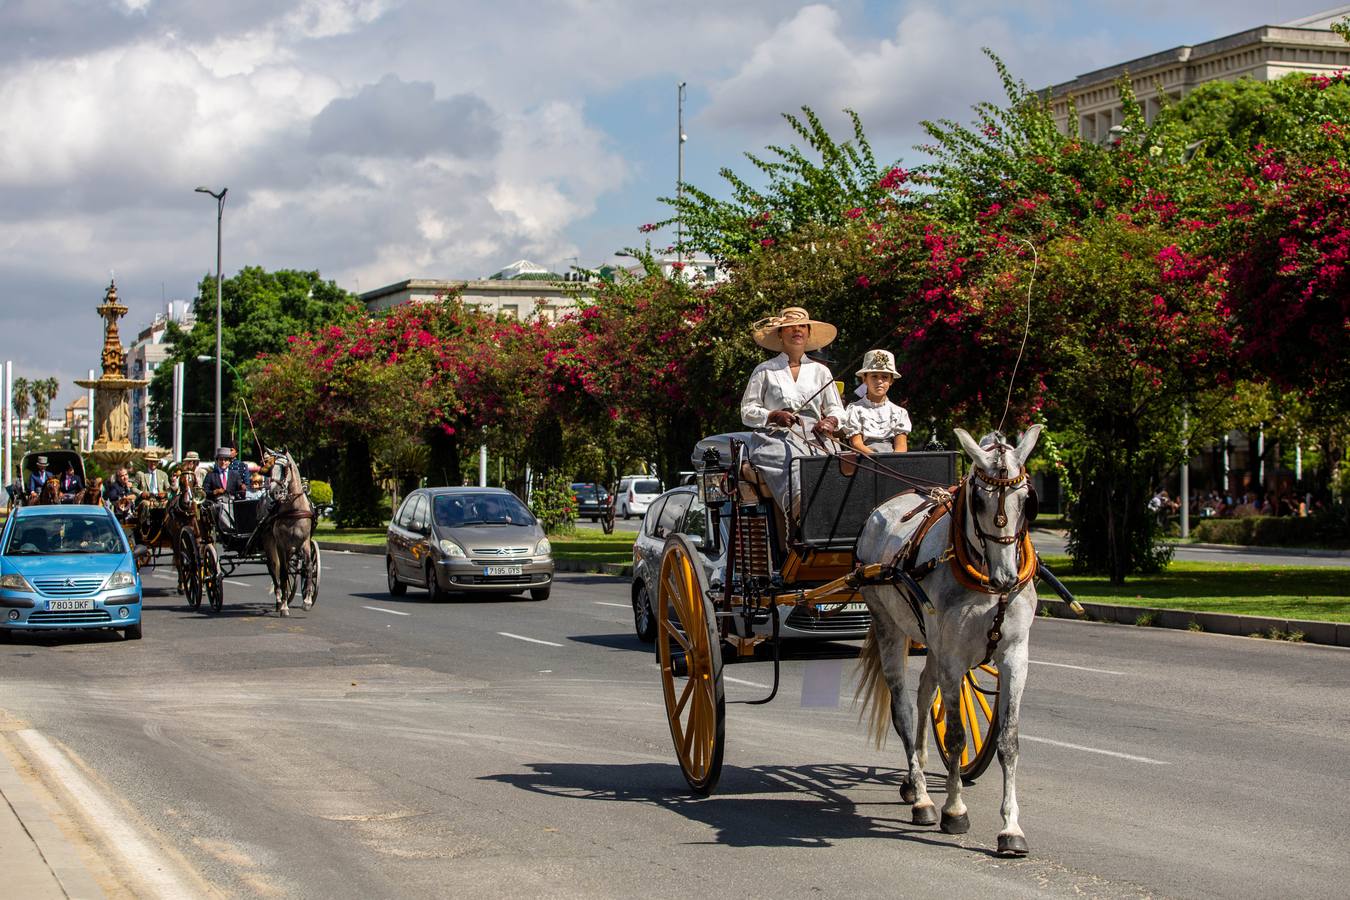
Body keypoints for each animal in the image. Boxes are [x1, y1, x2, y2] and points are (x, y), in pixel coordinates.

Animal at [853, 426, 1042, 858]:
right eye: (978, 499)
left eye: (1027, 500)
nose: (1007, 578)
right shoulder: (954, 658)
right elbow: (956, 736)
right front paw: (954, 810)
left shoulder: (1015, 656)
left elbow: (1008, 741)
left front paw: (1010, 828)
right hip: (889, 627)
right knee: (905, 710)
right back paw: (923, 798)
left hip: (932, 643)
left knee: (925, 692)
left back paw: (915, 780)